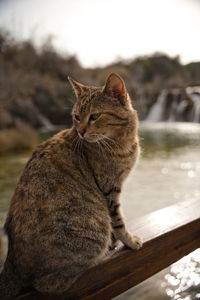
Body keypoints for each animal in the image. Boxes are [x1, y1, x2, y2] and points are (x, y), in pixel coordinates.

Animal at [0, 72, 142, 298]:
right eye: (76, 117)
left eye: (94, 116)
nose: (81, 132)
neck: (122, 141)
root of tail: (12, 263)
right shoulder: (110, 188)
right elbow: (118, 221)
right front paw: (129, 241)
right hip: (92, 230)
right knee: (47, 284)